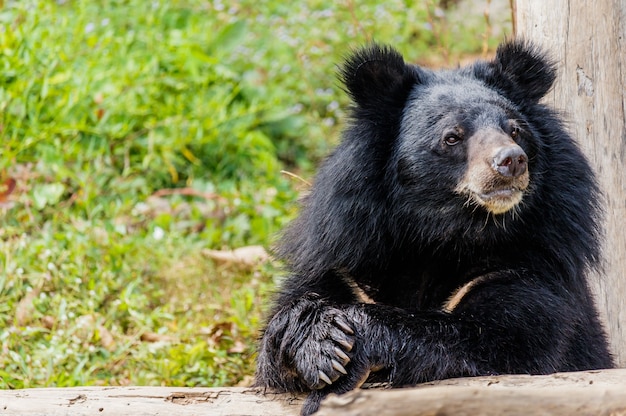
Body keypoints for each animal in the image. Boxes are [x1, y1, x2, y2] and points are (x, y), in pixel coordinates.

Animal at [252, 39, 608, 416]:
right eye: (452, 137)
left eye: (515, 130)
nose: (511, 160)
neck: (441, 231)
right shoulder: (345, 253)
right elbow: (281, 328)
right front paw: (320, 344)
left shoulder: (531, 262)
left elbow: (503, 340)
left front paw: (354, 347)